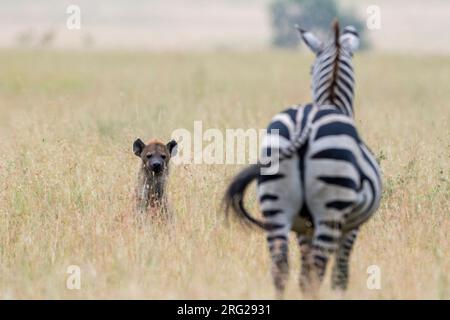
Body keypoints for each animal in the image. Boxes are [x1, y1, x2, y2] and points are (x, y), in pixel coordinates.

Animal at [223, 21, 382, 298]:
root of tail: (305, 125)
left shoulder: (302, 228)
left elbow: (302, 273)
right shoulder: (350, 228)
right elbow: (339, 275)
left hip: (275, 205)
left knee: (280, 269)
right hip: (330, 210)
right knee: (318, 271)